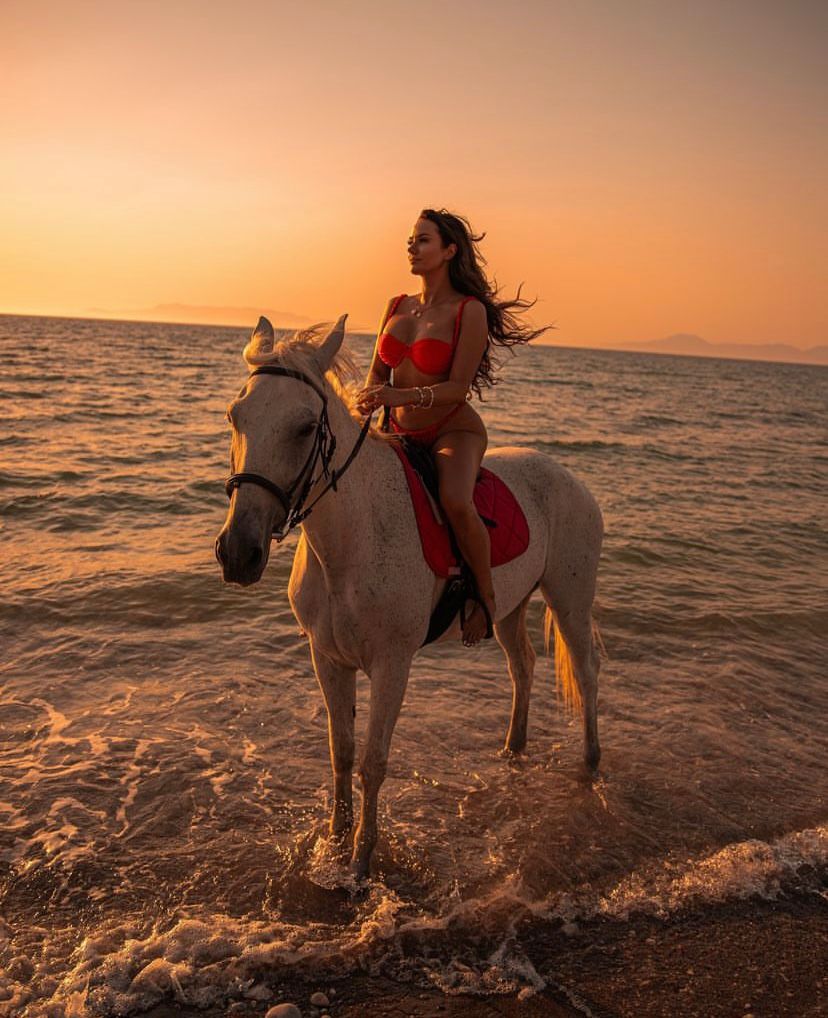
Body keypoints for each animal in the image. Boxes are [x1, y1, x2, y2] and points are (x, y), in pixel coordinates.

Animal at [215, 315, 603, 879]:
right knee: (523, 667)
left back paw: (591, 764)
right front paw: (333, 843)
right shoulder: (326, 658)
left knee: (587, 672)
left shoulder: (392, 663)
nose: (238, 553)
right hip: (508, 608)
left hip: (570, 599)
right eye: (235, 415)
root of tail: (573, 480)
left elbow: (373, 762)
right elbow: (341, 752)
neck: (352, 540)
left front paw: (360, 862)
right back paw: (513, 750)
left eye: (306, 427)